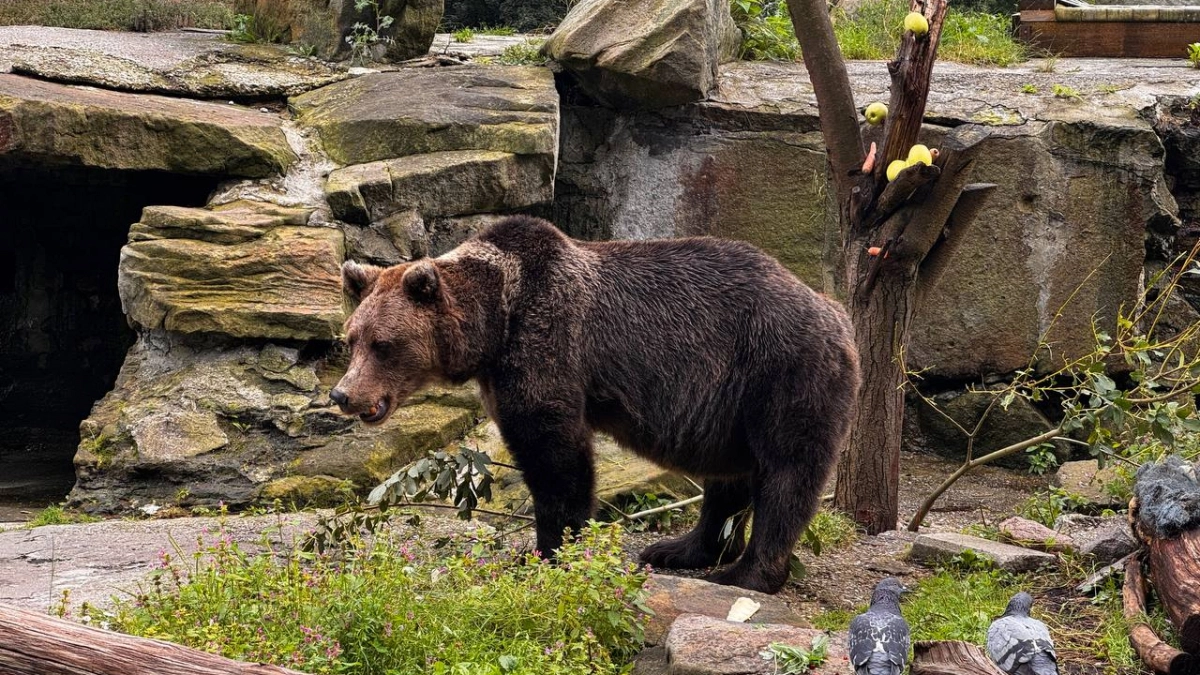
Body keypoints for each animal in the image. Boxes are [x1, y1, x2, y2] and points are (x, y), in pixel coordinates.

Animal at [331, 215, 860, 594]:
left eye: (383, 344)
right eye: (351, 339)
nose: (343, 394)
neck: (495, 321)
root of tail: (836, 311)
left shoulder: (547, 346)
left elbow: (556, 458)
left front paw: (545, 551)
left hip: (779, 370)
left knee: (786, 472)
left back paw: (745, 574)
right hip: (726, 404)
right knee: (728, 477)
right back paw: (679, 548)